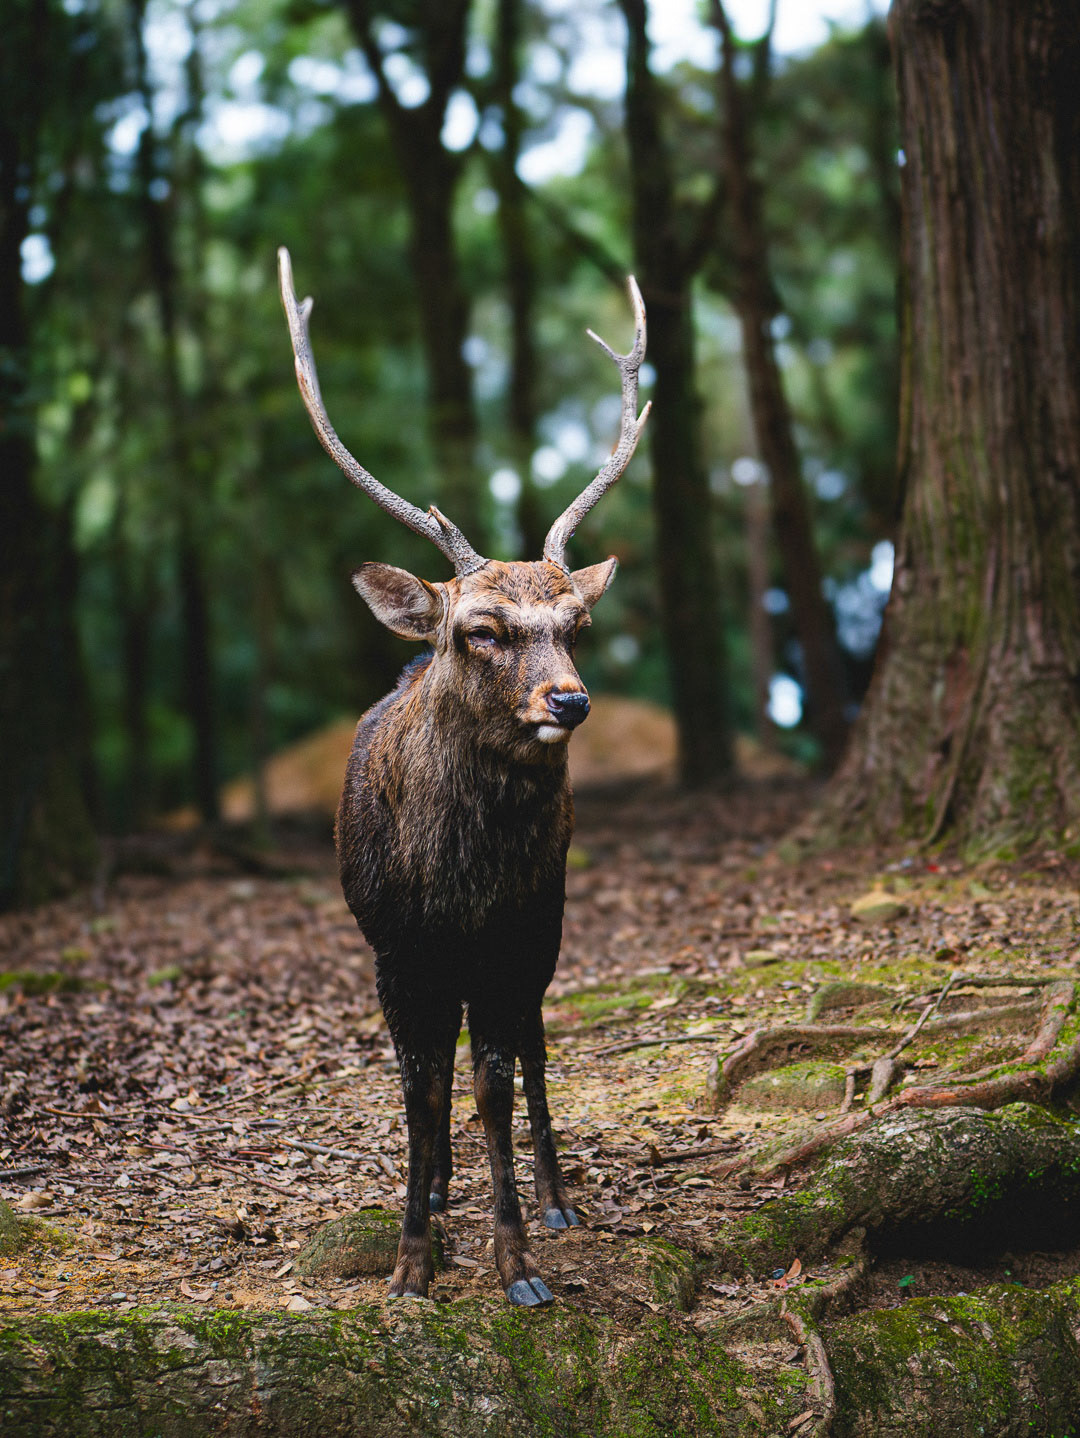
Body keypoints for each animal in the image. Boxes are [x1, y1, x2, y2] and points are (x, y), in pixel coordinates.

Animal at [278, 248, 649, 1307]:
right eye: (480, 628)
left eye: (576, 623)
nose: (570, 700)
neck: (456, 882)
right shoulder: (395, 945)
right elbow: (419, 1087)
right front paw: (413, 1262)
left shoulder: (511, 932)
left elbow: (490, 1080)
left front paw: (519, 1260)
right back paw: (442, 1190)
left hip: (548, 923)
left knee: (529, 1044)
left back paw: (556, 1199)